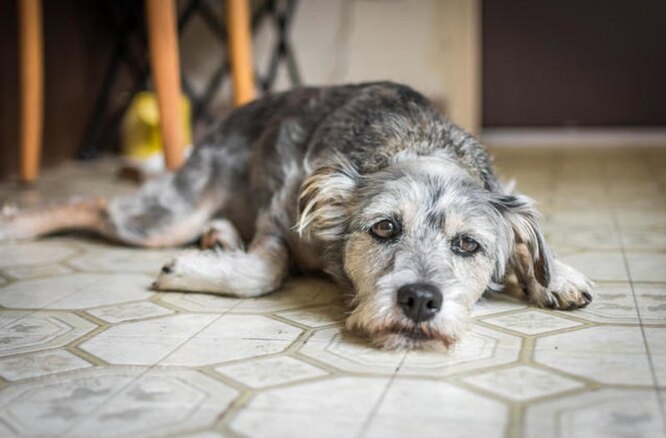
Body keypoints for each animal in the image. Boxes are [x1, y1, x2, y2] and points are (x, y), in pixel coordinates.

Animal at [0, 81, 592, 350]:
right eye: (384, 228)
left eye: (467, 244)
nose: (420, 300)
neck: (418, 142)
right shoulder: (280, 213)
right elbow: (264, 271)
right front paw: (191, 271)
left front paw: (556, 275)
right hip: (168, 215)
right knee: (96, 203)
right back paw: (15, 223)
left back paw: (218, 238)